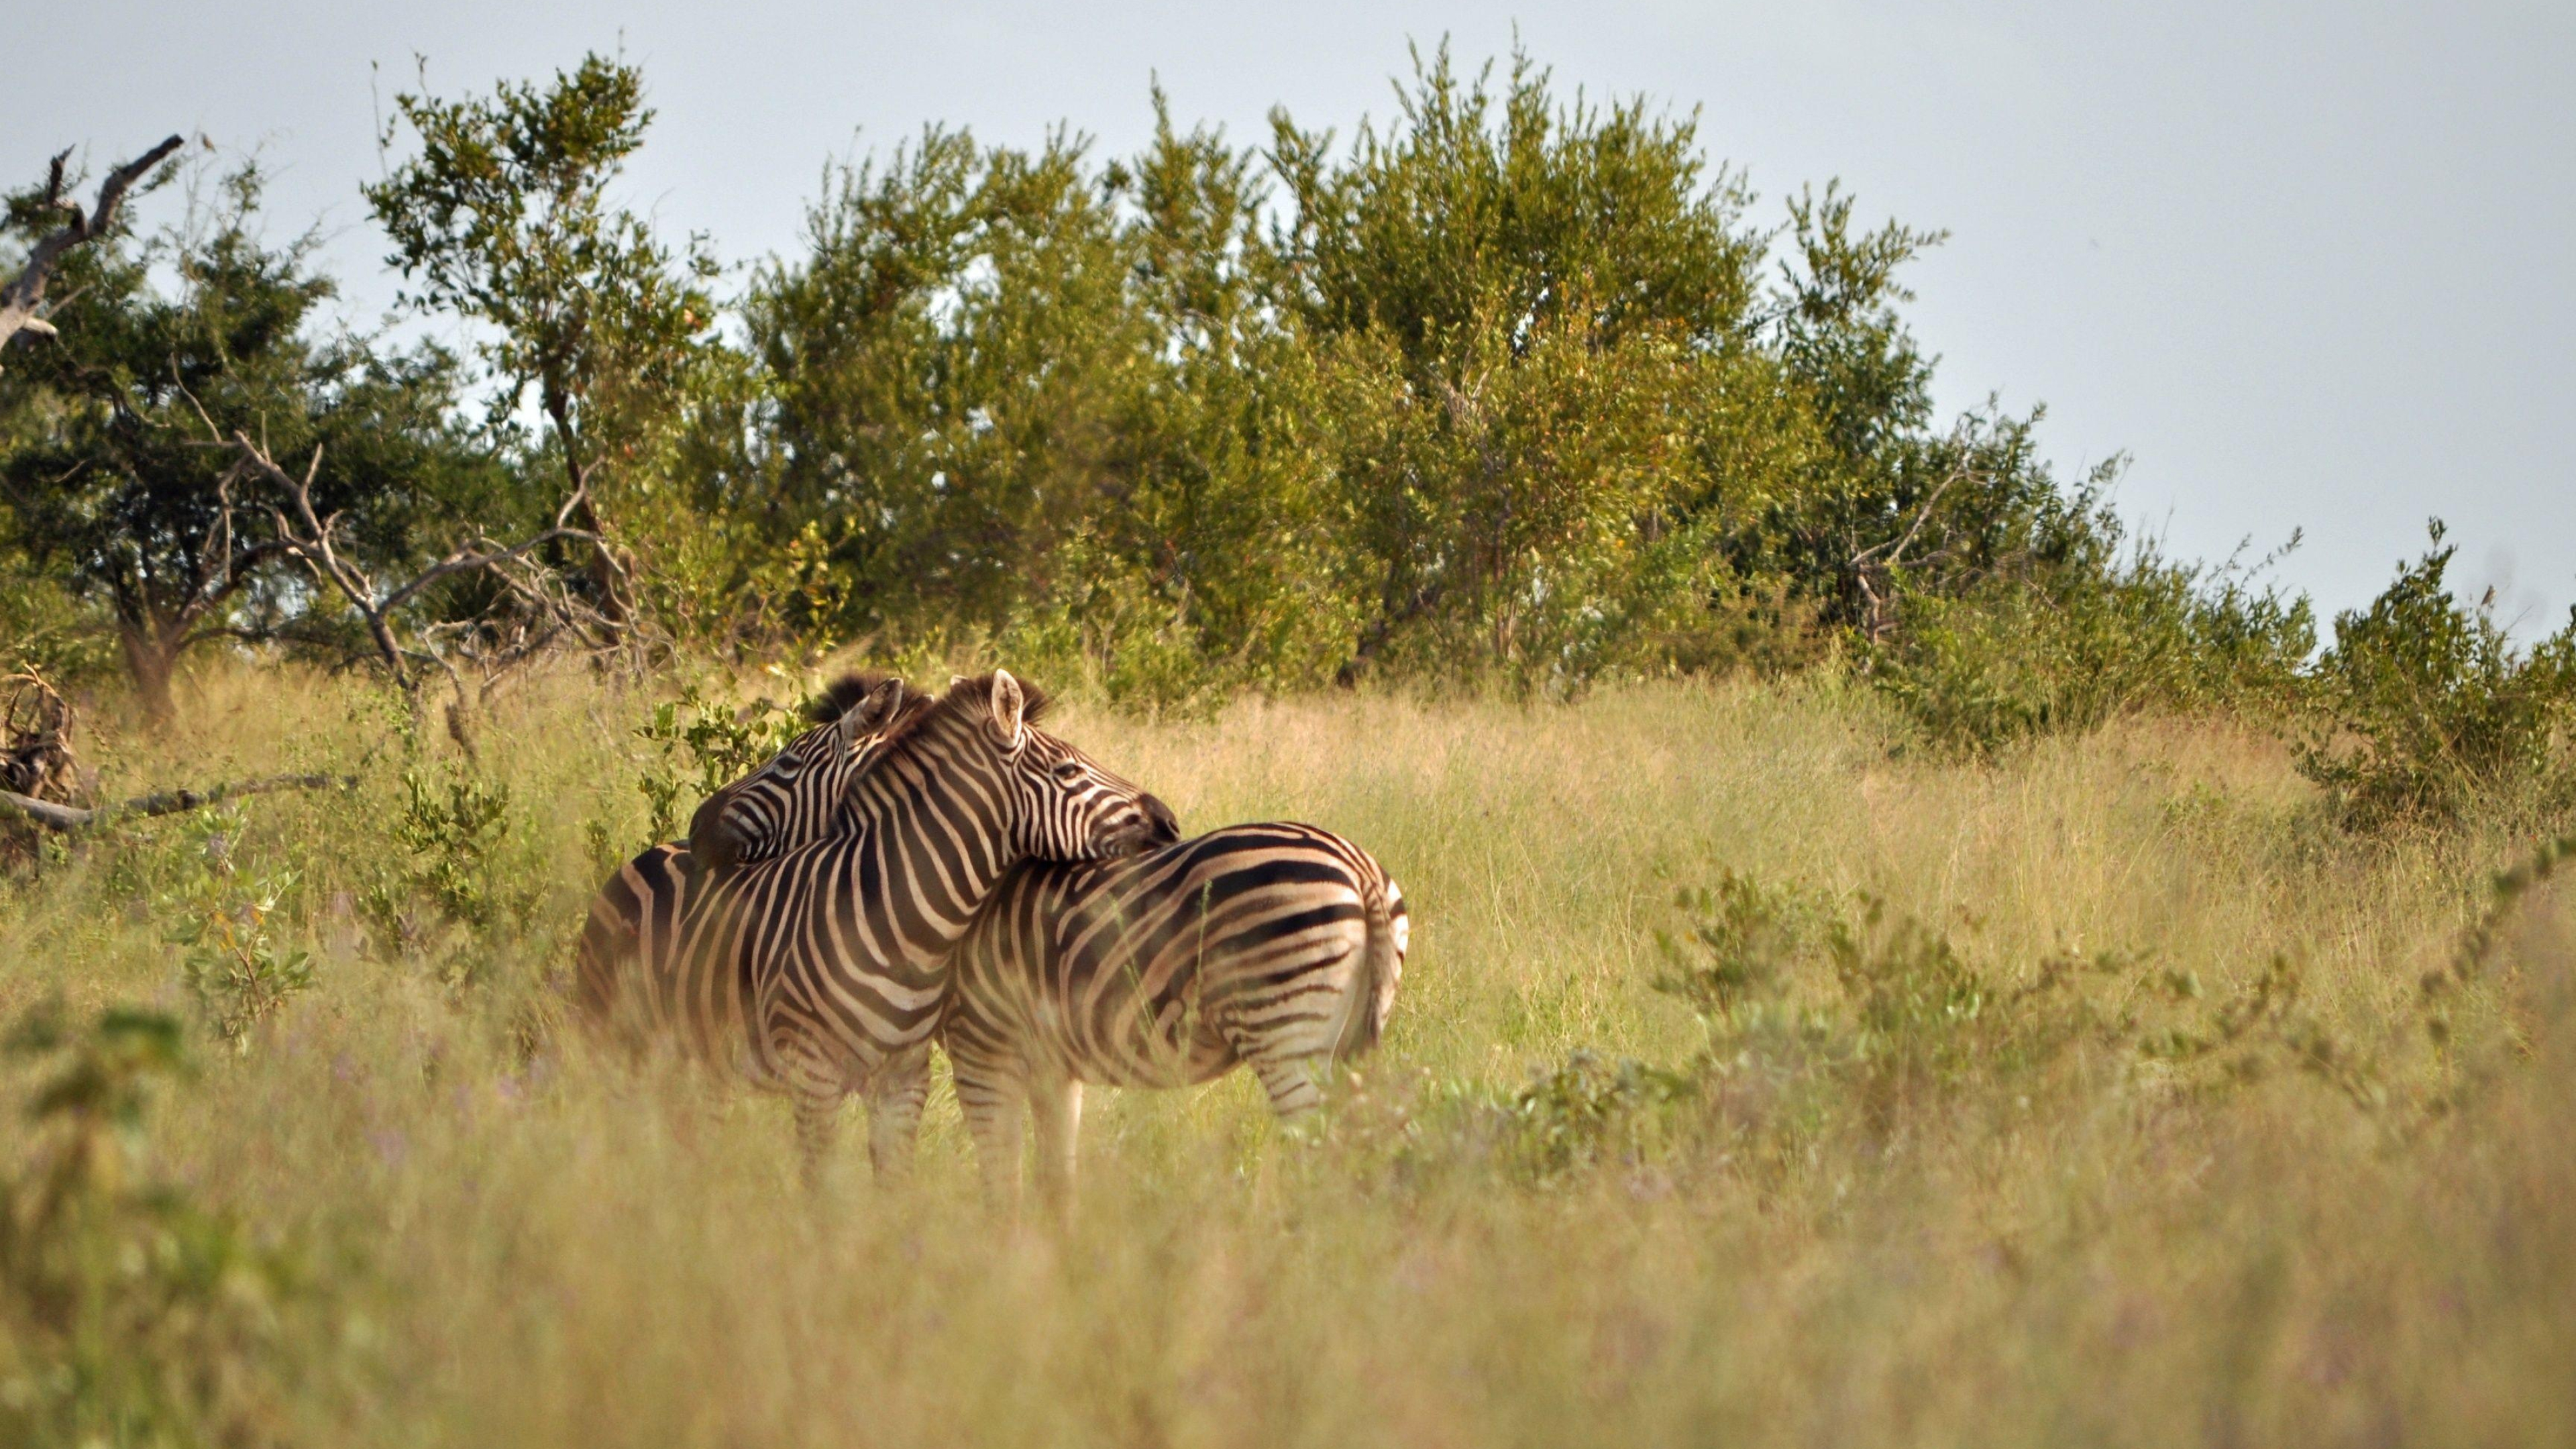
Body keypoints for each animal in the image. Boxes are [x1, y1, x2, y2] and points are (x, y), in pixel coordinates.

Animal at [574, 670, 1169, 1165]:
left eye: (786, 763)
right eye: (1068, 768)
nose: (1169, 821)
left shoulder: (915, 1077)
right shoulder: (837, 1073)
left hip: (698, 1062)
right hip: (617, 1042)